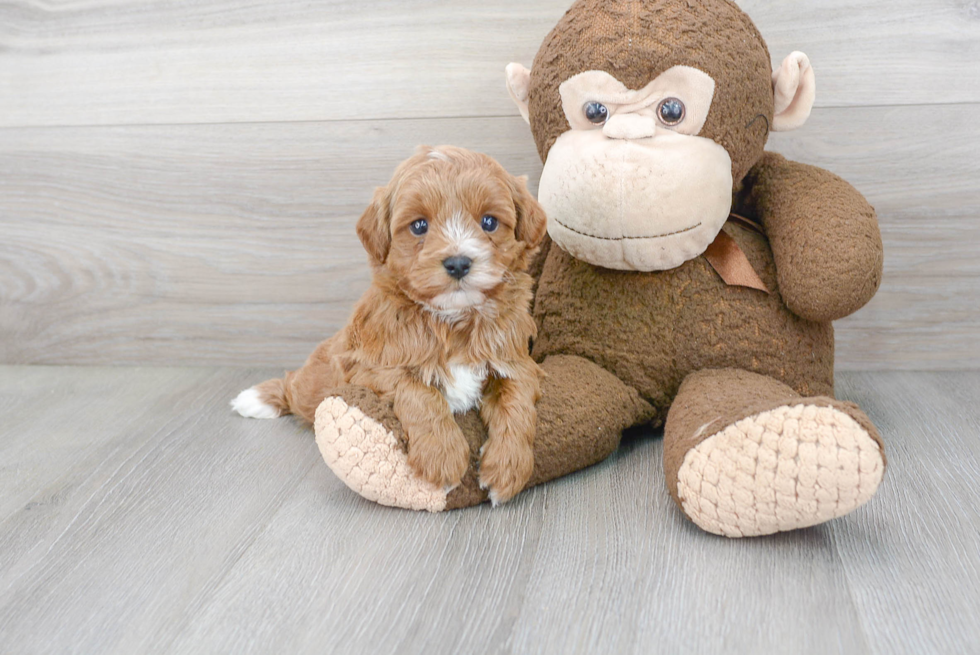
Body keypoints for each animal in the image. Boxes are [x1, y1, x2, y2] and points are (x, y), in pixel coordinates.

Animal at [233, 146, 548, 504]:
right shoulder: (371, 366)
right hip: (316, 379)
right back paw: (258, 398)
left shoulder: (514, 361)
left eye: (489, 222)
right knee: (295, 386)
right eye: (419, 226)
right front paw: (442, 458)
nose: (457, 263)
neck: (452, 320)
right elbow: (418, 392)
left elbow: (517, 403)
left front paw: (508, 467)